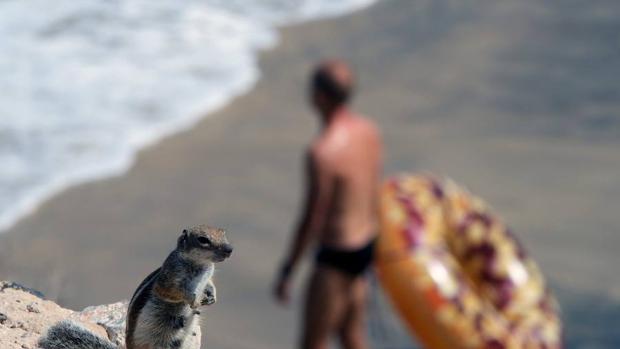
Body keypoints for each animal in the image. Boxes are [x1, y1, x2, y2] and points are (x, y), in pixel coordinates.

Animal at [38, 224, 232, 348]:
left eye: (223, 233)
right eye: (203, 239)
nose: (230, 250)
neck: (201, 265)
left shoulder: (207, 275)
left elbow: (209, 284)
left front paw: (211, 296)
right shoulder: (170, 277)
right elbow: (172, 292)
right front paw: (193, 301)